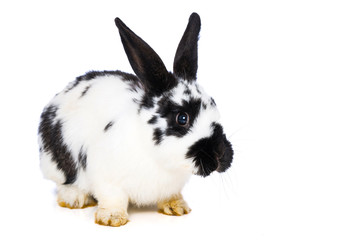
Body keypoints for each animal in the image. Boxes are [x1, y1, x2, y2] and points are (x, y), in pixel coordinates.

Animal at [37, 12, 233, 227]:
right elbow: (113, 198)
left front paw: (177, 208)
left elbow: (171, 195)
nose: (220, 155)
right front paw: (112, 219)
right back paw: (75, 199)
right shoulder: (107, 179)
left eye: (214, 104)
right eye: (182, 118)